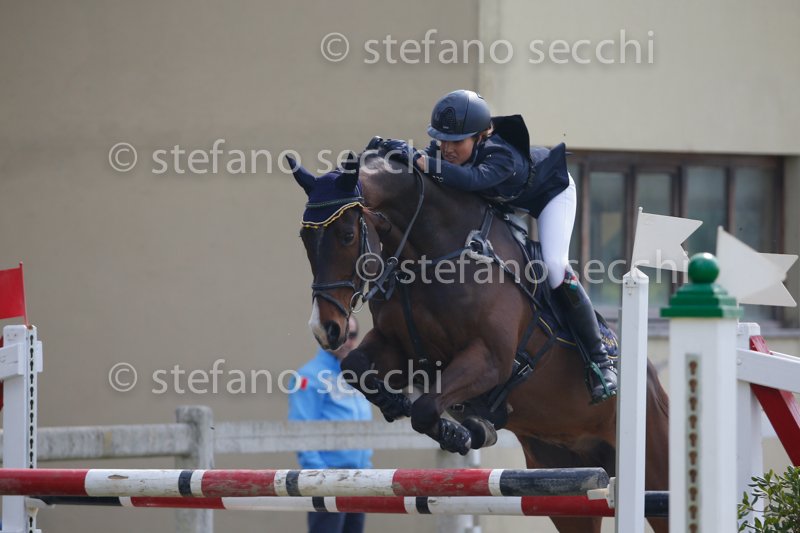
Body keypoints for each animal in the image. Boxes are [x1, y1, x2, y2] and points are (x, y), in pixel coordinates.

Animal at [291, 149, 669, 533]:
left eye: (347, 235)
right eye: (304, 240)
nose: (325, 328)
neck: (430, 254)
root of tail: (654, 383)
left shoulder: (490, 359)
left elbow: (426, 407)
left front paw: (459, 433)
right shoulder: (400, 349)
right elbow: (354, 367)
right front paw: (399, 405)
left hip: (654, 469)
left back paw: (604, 374)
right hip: (564, 475)